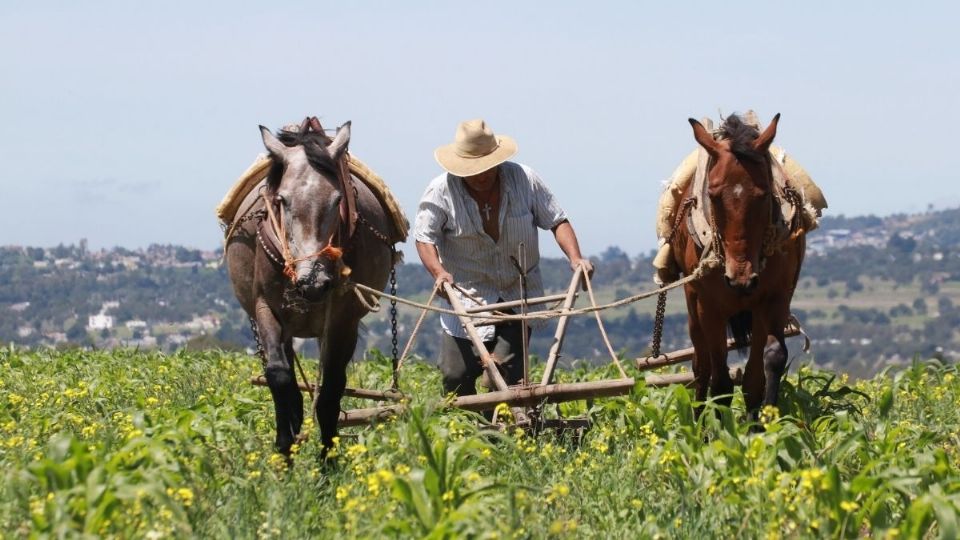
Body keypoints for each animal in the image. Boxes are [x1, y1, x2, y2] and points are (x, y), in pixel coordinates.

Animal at [226, 119, 398, 456]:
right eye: (282, 200)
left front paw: (328, 459)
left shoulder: (343, 320)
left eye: (337, 200)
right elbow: (279, 376)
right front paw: (285, 447)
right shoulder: (266, 308)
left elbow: (331, 388)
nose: (313, 282)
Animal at [672, 113, 808, 418]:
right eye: (713, 194)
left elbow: (763, 369)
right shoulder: (709, 307)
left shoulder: (774, 299)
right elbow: (720, 380)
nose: (741, 279)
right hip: (693, 305)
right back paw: (696, 421)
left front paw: (763, 423)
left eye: (763, 193)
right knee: (701, 366)